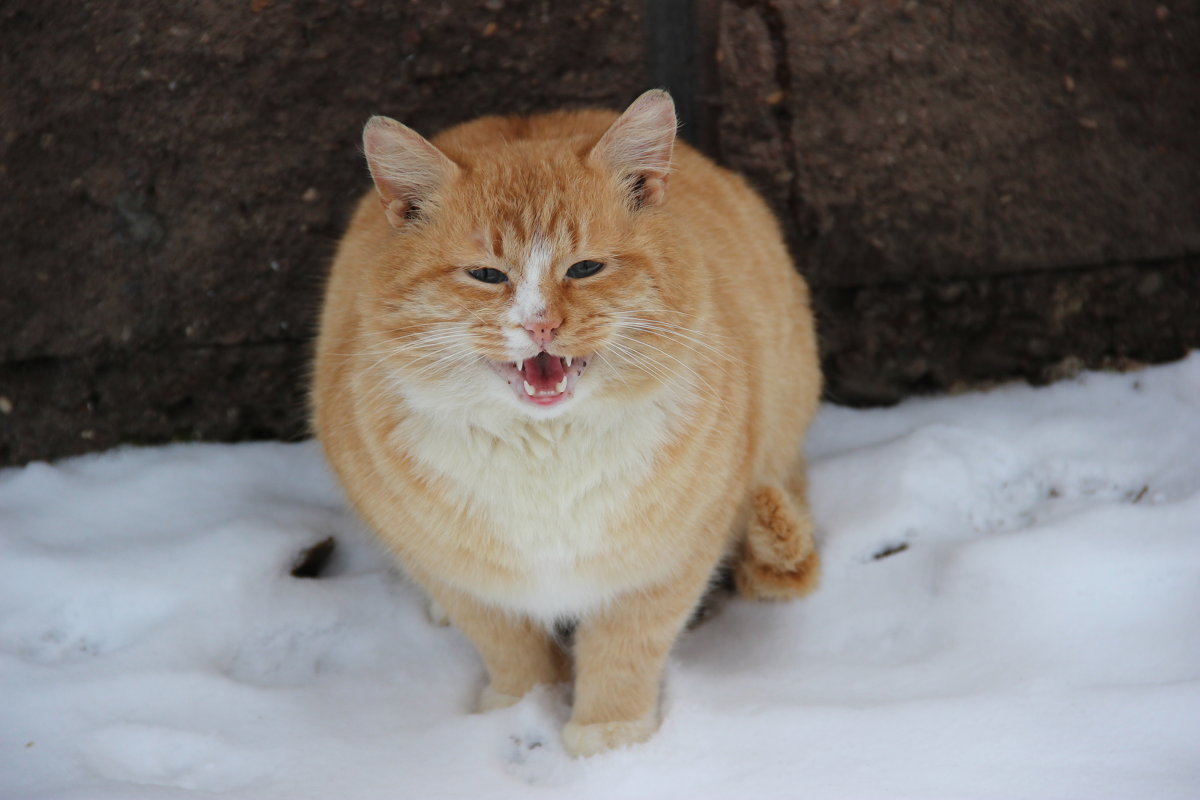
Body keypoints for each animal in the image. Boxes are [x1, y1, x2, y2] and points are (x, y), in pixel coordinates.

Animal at [309, 89, 820, 758]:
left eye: (585, 269)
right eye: (486, 275)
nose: (541, 324)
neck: (544, 451)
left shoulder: (667, 561)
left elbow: (626, 648)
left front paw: (608, 738)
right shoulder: (451, 568)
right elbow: (506, 643)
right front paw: (522, 704)